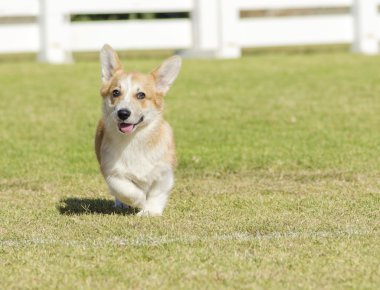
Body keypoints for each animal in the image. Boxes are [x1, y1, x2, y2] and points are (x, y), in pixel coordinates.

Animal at [96, 43, 183, 215]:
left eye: (141, 95)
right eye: (116, 92)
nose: (123, 113)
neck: (134, 139)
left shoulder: (164, 173)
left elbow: (157, 193)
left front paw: (151, 212)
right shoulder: (111, 171)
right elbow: (125, 189)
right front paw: (140, 200)